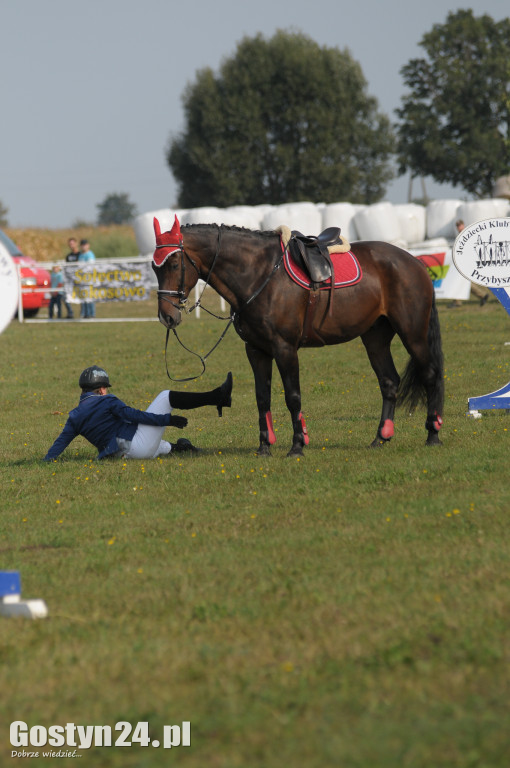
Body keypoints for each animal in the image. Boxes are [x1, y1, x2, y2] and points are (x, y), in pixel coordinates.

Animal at [151, 216, 442, 456]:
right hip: (375, 336)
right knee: (389, 381)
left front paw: (297, 446)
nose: (167, 317)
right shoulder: (256, 350)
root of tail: (413, 262)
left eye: (174, 263)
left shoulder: (285, 348)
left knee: (430, 375)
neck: (259, 274)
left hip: (412, 333)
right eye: (154, 268)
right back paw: (381, 438)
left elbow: (292, 397)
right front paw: (264, 447)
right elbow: (262, 397)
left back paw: (433, 433)